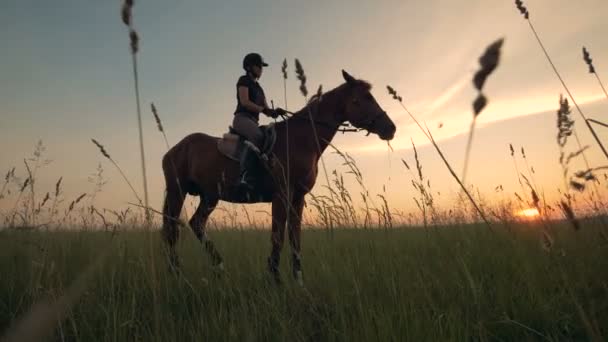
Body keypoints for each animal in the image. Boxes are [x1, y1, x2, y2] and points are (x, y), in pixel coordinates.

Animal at [160, 69, 394, 284]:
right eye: (361, 99)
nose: (390, 128)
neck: (300, 139)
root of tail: (176, 148)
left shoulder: (297, 198)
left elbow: (295, 237)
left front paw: (298, 279)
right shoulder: (281, 195)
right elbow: (278, 236)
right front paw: (275, 277)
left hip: (209, 196)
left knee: (196, 224)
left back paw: (218, 266)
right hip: (177, 192)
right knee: (172, 229)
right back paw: (176, 272)